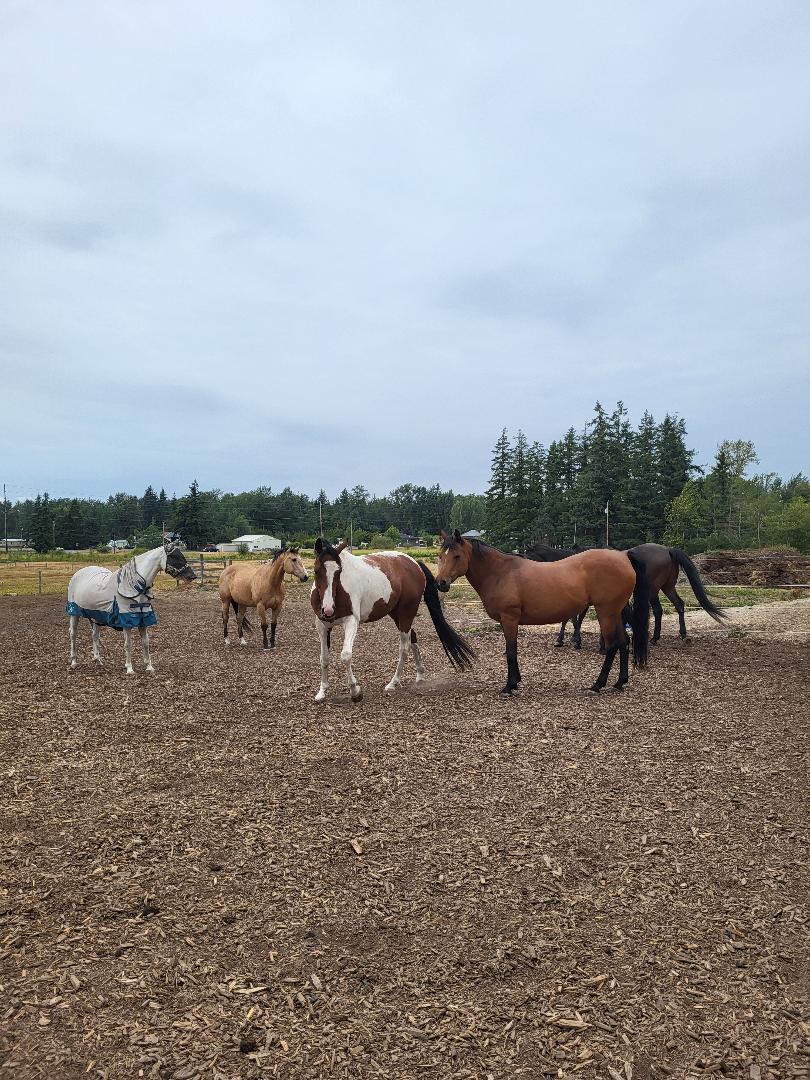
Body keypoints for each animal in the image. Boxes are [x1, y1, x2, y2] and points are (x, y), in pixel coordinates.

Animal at [67, 541, 195, 674]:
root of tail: (78, 573)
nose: (192, 576)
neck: (134, 586)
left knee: (95, 635)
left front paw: (149, 666)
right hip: (74, 613)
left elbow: (146, 642)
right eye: (174, 556)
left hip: (97, 615)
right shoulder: (127, 620)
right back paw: (74, 662)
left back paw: (98, 660)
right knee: (73, 634)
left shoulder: (143, 618)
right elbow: (128, 644)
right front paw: (129, 668)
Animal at [310, 539, 474, 703]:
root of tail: (414, 563)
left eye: (339, 572)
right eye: (316, 571)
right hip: (397, 615)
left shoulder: (351, 622)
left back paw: (394, 682)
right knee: (413, 637)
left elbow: (345, 655)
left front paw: (355, 691)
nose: (328, 609)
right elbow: (324, 658)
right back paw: (420, 674)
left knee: (404, 647)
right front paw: (322, 691)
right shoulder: (322, 625)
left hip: (406, 613)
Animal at [436, 530, 650, 697]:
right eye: (440, 556)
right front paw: (515, 681)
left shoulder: (509, 618)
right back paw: (619, 682)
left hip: (606, 612)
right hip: (616, 612)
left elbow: (511, 651)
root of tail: (623, 557)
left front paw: (509, 686)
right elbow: (512, 650)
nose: (441, 583)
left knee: (613, 645)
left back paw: (597, 685)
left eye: (457, 556)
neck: (500, 572)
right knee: (624, 642)